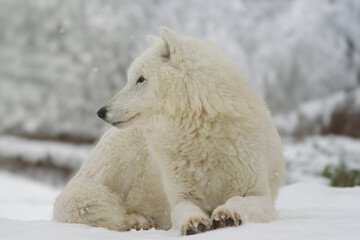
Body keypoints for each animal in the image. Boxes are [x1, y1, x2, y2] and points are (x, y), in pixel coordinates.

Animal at [53, 27, 286, 234]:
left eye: (141, 79)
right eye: (130, 78)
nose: (101, 111)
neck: (200, 134)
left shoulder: (260, 195)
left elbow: (239, 200)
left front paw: (226, 213)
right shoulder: (181, 196)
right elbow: (186, 209)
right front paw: (194, 222)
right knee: (95, 207)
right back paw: (137, 221)